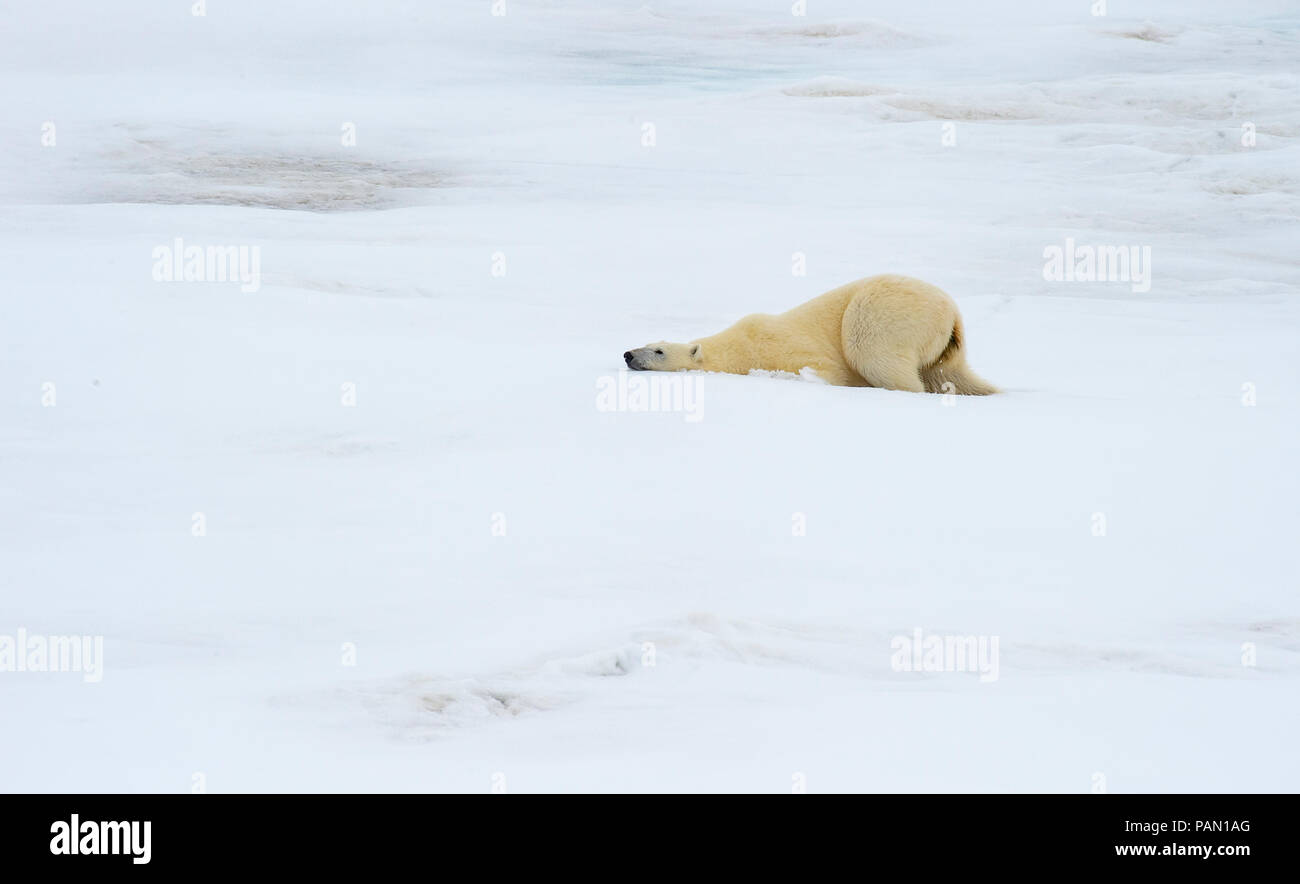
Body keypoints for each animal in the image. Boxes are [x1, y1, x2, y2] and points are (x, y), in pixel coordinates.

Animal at [624, 274, 998, 395]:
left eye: (658, 351)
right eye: (648, 342)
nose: (627, 354)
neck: (740, 346)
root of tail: (951, 312)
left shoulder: (781, 346)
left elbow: (825, 369)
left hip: (885, 312)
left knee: (871, 350)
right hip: (947, 348)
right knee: (951, 373)